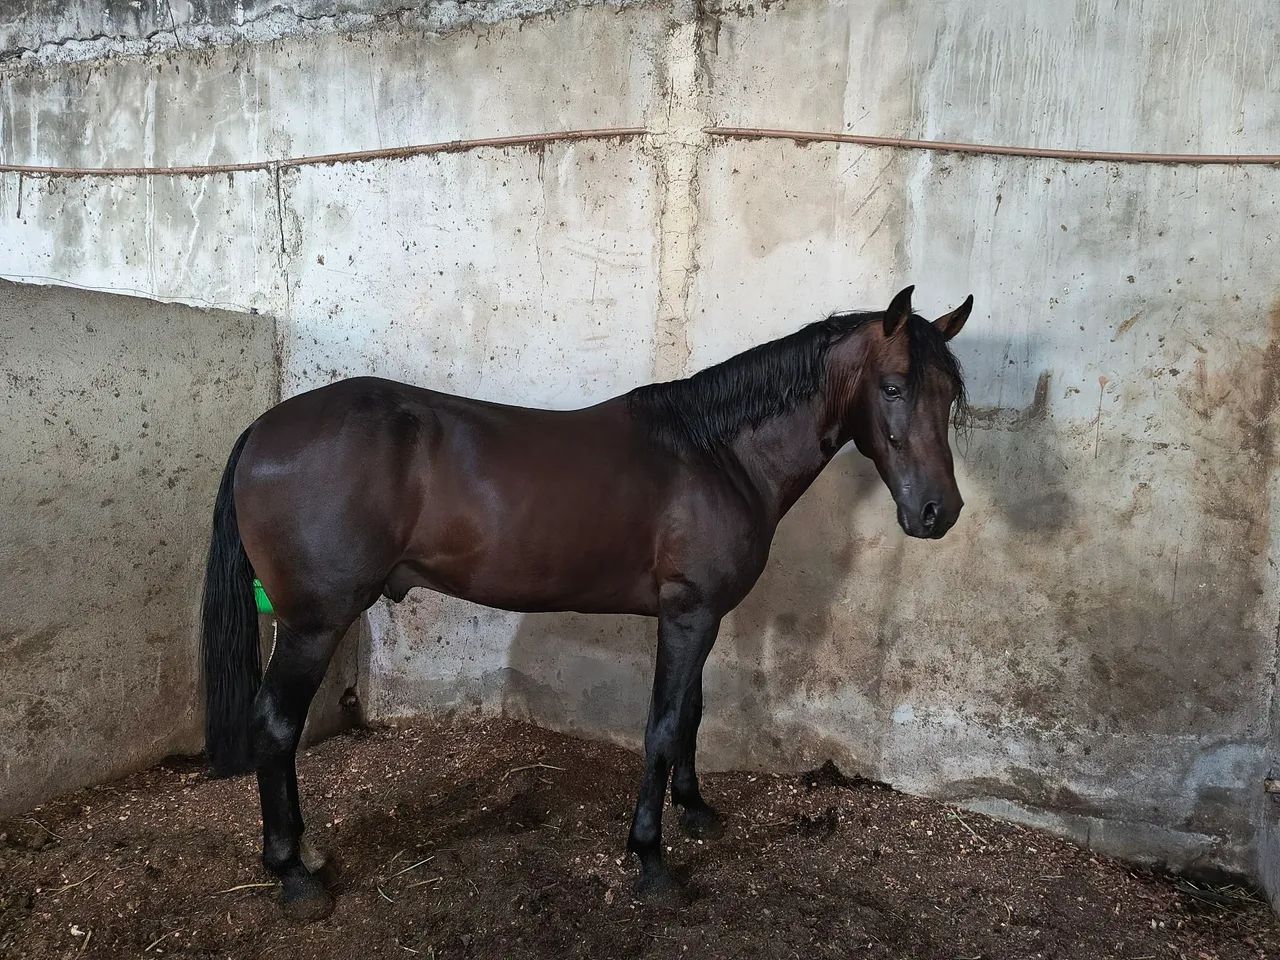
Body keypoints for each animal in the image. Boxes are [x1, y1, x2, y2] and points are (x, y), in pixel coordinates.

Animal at [200, 284, 972, 920]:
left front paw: (696, 812)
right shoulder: (688, 614)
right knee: (275, 726)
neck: (719, 455)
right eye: (894, 386)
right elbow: (663, 726)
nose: (939, 512)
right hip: (313, 624)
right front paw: (652, 861)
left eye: (950, 394)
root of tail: (264, 429)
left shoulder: (698, 617)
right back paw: (294, 877)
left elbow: (691, 715)